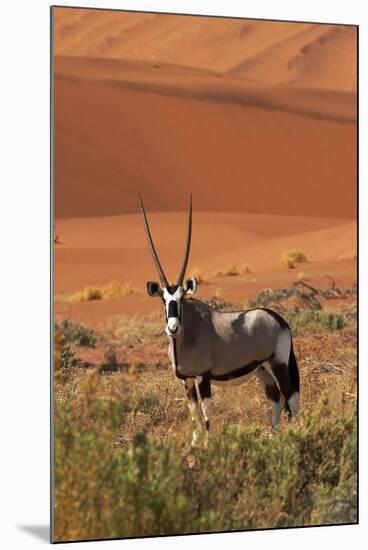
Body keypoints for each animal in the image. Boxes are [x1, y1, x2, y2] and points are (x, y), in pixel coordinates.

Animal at [138, 196, 300, 446]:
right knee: (276, 399)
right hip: (262, 369)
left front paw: (207, 444)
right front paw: (194, 444)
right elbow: (193, 412)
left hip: (278, 364)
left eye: (181, 298)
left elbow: (207, 411)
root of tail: (280, 320)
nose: (173, 327)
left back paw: (299, 433)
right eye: (163, 300)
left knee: (291, 396)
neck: (187, 334)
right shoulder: (186, 380)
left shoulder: (203, 376)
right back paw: (273, 435)